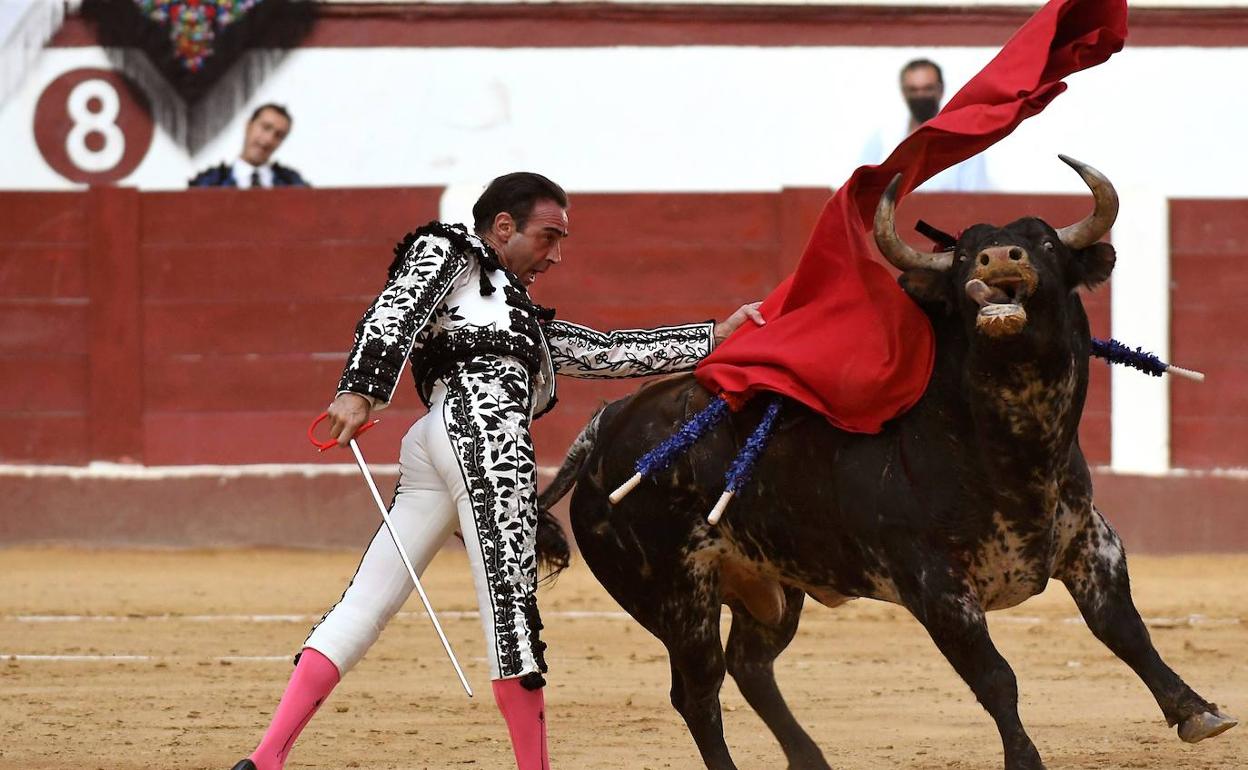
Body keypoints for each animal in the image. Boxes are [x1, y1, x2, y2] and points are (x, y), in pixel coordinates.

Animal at [536, 157, 1238, 768]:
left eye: (1041, 242)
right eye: (964, 257)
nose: (998, 257)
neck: (1014, 450)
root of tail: (607, 423)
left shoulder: (1091, 542)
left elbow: (1126, 630)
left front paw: (1196, 711)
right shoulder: (938, 588)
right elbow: (996, 679)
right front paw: (1025, 760)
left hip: (772, 588)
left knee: (750, 666)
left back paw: (811, 759)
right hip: (677, 599)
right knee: (698, 692)